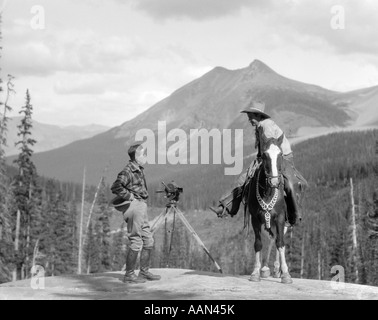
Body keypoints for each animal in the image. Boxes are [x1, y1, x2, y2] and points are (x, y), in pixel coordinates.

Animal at [245, 134, 292, 284]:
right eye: (264, 155)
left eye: (280, 154)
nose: (274, 181)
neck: (268, 192)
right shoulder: (256, 219)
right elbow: (258, 244)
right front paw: (255, 272)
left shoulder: (280, 217)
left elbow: (281, 243)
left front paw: (286, 274)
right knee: (271, 238)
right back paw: (266, 268)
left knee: (277, 239)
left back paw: (278, 270)